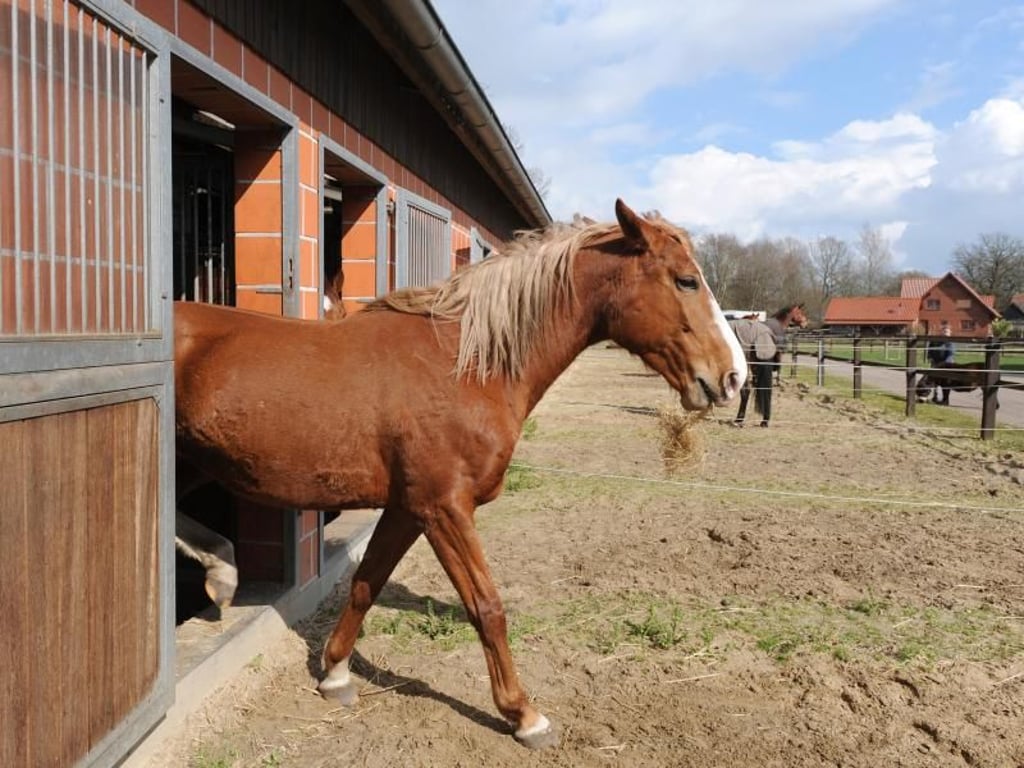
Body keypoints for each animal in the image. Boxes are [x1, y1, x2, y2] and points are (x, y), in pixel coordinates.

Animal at [173, 199, 747, 748]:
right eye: (686, 280)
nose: (732, 377)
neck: (463, 365)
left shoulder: (407, 509)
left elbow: (366, 583)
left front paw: (334, 673)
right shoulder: (444, 508)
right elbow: (487, 607)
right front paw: (524, 715)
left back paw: (222, 573)